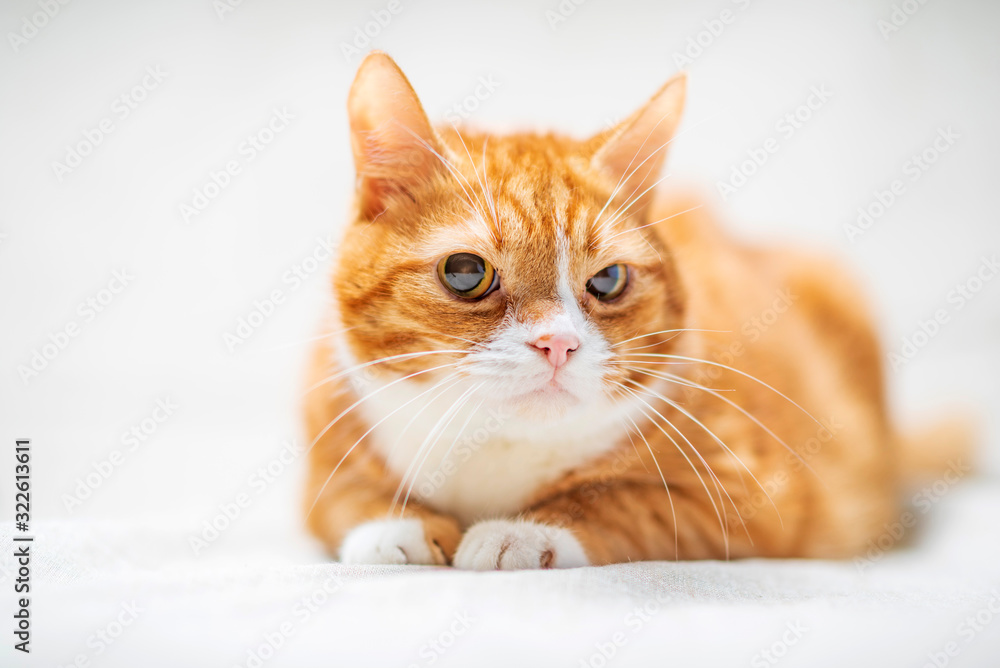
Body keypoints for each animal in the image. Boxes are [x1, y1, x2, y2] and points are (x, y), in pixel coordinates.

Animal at [304, 52, 944, 568]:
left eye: (608, 280)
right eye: (465, 272)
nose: (557, 343)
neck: (493, 449)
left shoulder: (755, 498)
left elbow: (618, 501)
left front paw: (524, 532)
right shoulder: (325, 437)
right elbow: (342, 496)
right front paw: (397, 525)